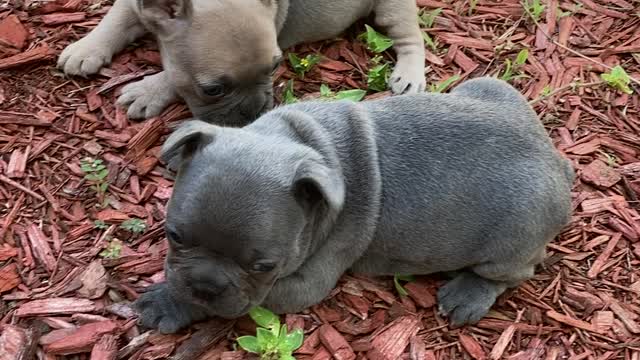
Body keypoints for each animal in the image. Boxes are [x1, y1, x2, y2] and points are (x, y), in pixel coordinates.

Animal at [56, 0, 424, 125]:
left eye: (275, 67)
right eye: (213, 90)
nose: (255, 111)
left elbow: (172, 75)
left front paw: (148, 91)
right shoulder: (136, 5)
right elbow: (115, 20)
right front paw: (87, 48)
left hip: (391, 10)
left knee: (410, 35)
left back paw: (409, 74)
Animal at [134, 77, 576, 334]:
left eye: (264, 267)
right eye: (174, 236)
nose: (205, 286)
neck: (305, 140)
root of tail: (558, 164)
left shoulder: (296, 287)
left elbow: (241, 304)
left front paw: (170, 303)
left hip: (513, 240)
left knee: (510, 273)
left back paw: (467, 295)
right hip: (486, 85)